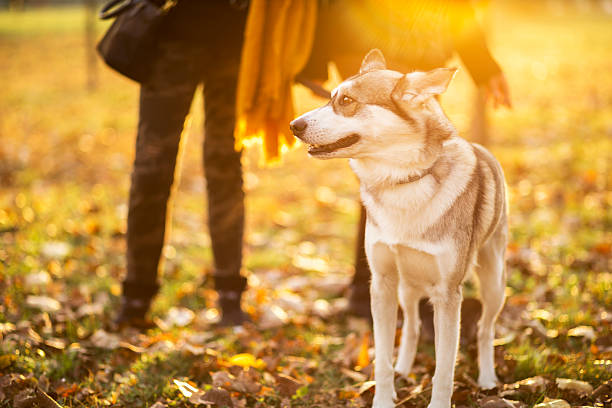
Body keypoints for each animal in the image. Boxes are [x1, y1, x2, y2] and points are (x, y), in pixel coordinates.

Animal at [290, 50, 506, 408]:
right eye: (331, 96)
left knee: (486, 329)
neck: (403, 181)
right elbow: (383, 358)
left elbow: (444, 369)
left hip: (493, 282)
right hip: (407, 286)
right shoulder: (382, 283)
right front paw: (384, 396)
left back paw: (488, 378)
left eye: (346, 101)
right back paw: (405, 368)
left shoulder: (448, 295)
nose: (294, 125)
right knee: (414, 327)